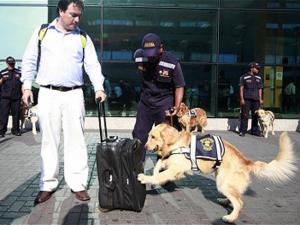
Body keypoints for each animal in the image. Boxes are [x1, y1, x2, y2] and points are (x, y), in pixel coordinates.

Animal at [138, 123, 296, 223]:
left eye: (153, 137)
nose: (144, 146)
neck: (176, 143)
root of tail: (246, 161)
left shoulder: (176, 168)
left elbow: (161, 173)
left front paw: (146, 178)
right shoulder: (171, 162)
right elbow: (159, 165)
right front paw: (154, 176)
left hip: (222, 182)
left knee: (239, 202)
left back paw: (230, 218)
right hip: (222, 179)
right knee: (235, 197)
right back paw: (224, 200)